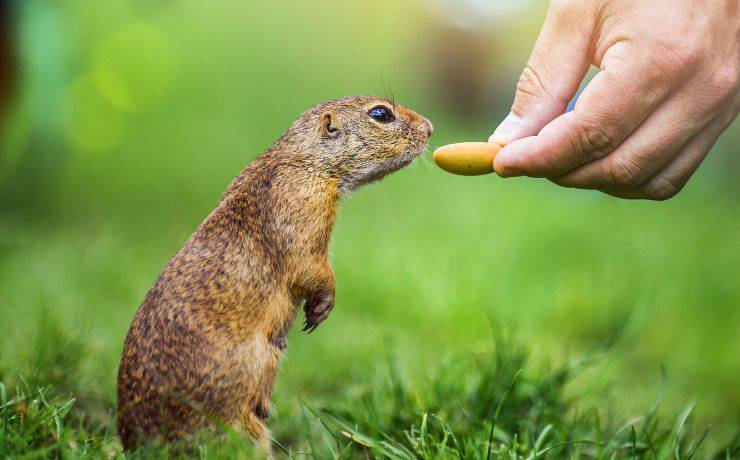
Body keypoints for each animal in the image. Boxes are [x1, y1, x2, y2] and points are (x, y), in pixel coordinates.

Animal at [115, 96, 434, 452]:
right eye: (381, 113)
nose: (430, 127)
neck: (302, 161)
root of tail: (137, 445)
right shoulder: (304, 210)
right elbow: (310, 265)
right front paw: (321, 307)